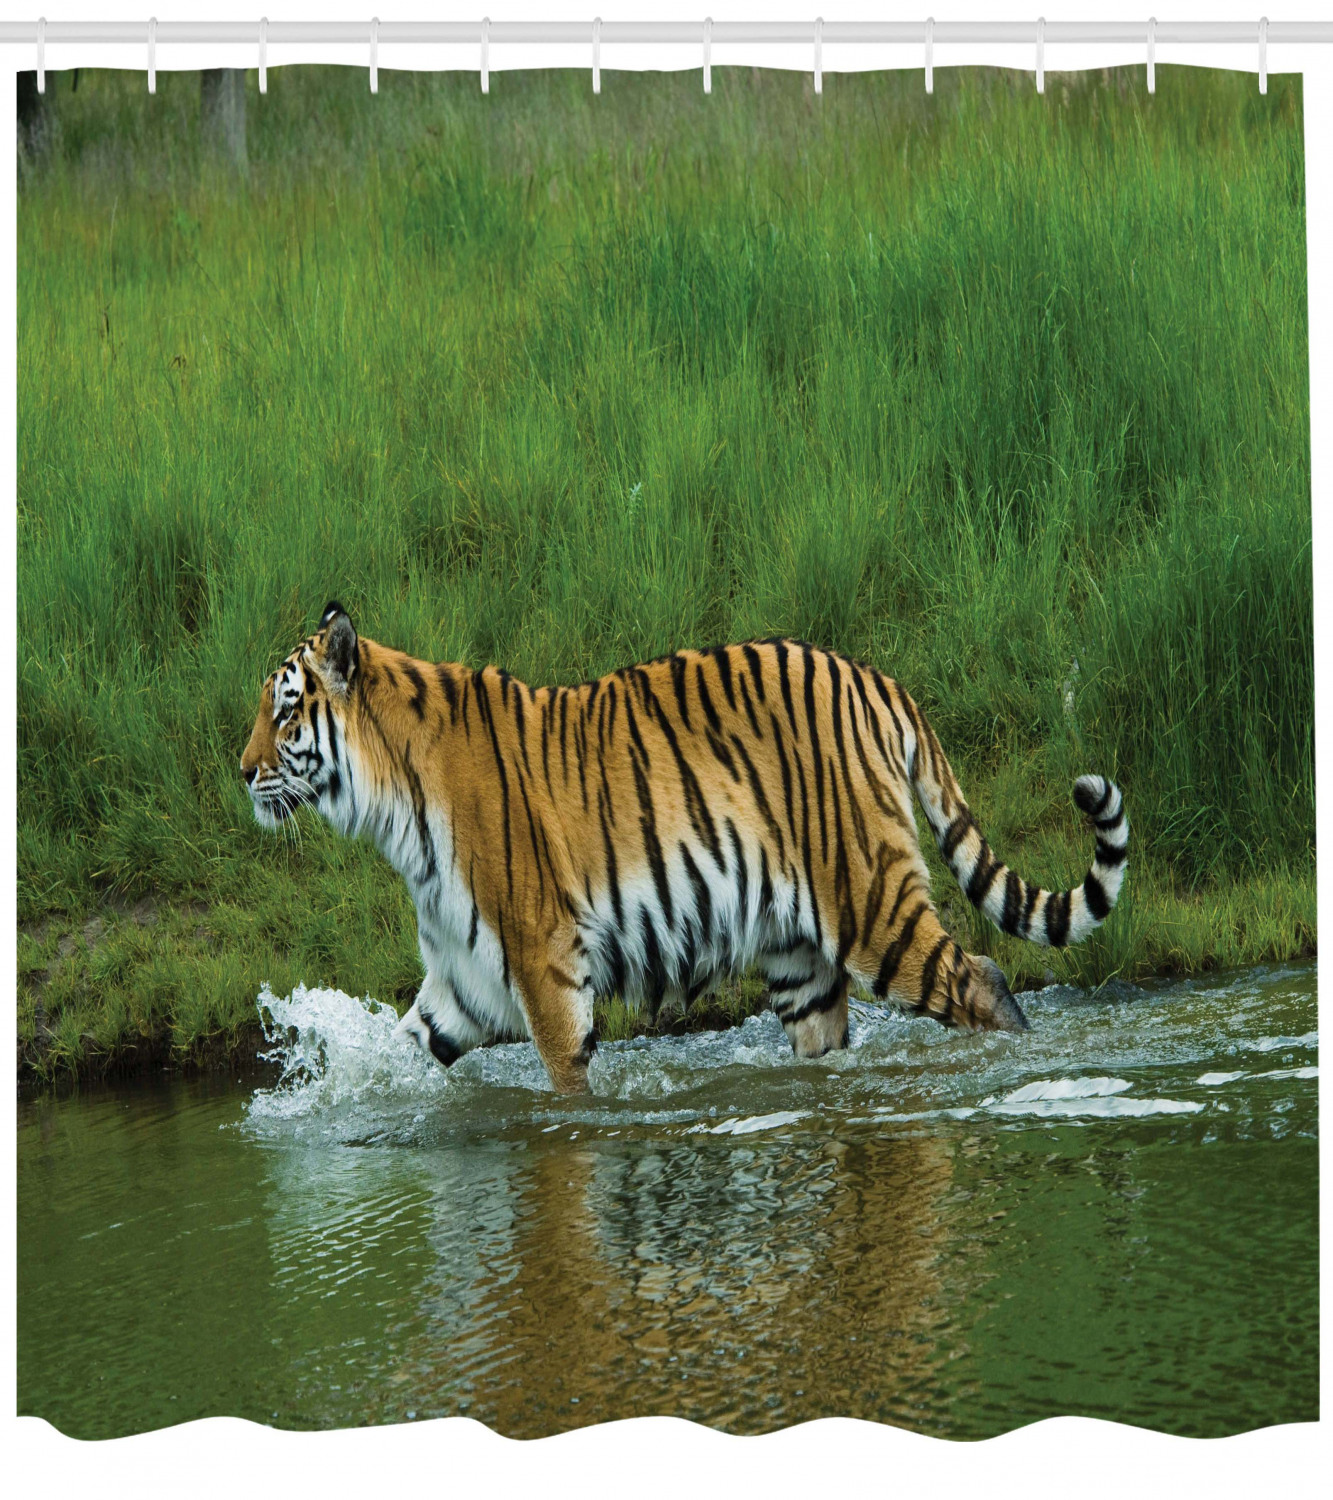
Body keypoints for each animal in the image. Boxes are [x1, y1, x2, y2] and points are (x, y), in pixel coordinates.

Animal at [241, 603, 1128, 1094]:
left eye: (284, 713)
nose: (240, 770)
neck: (391, 812)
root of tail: (873, 676)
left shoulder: (543, 963)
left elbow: (565, 1086)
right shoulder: (464, 980)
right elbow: (397, 1057)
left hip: (871, 901)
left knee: (980, 980)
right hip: (798, 956)